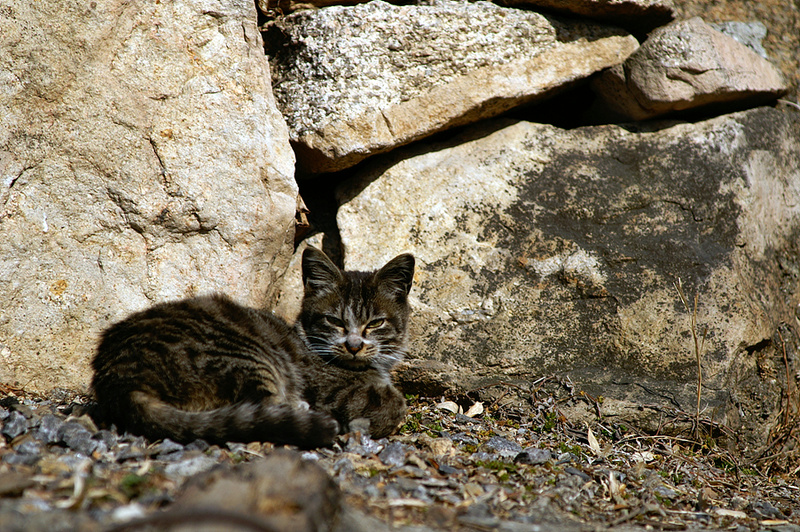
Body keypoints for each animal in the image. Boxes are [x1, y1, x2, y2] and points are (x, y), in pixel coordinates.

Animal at [91, 247, 416, 446]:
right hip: (241, 355)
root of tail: (118, 379)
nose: (354, 346)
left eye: (375, 323)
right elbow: (394, 405)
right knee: (260, 405)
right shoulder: (334, 391)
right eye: (334, 321)